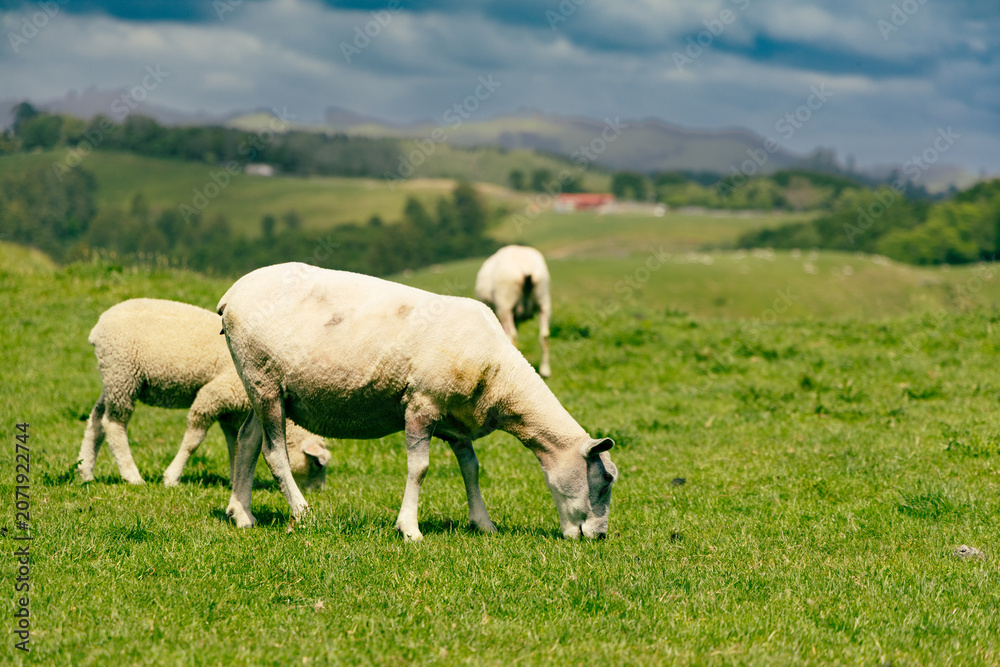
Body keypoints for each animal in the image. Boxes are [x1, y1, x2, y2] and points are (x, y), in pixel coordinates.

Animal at [78, 298, 331, 489]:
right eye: (317, 464)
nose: (319, 491)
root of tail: (96, 330)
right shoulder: (215, 393)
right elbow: (193, 440)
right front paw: (171, 477)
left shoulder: (230, 410)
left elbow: (234, 443)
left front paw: (235, 482)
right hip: (123, 373)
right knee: (114, 425)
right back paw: (132, 475)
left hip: (113, 378)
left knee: (96, 419)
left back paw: (85, 470)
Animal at [217, 262, 617, 540]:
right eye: (604, 480)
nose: (599, 536)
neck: (501, 380)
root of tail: (231, 295)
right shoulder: (421, 405)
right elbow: (419, 468)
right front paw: (409, 528)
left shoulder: (457, 421)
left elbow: (471, 469)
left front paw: (483, 523)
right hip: (264, 381)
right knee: (274, 453)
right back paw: (300, 511)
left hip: (263, 387)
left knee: (248, 440)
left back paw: (242, 514)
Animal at [475, 245, 552, 377]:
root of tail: (524, 266)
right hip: (543, 299)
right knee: (544, 335)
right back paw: (545, 370)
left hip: (505, 305)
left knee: (512, 336)